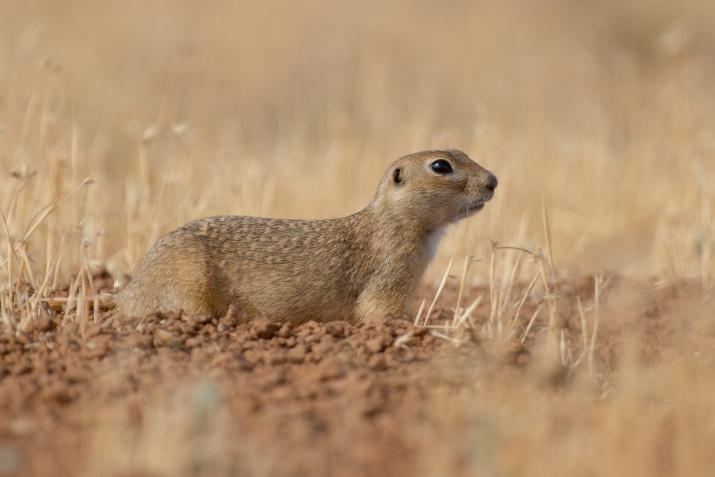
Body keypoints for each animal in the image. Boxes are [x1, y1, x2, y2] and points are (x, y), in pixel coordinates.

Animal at [116, 149, 498, 322]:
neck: (390, 220)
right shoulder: (390, 274)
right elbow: (379, 311)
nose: (493, 180)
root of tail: (129, 292)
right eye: (441, 165)